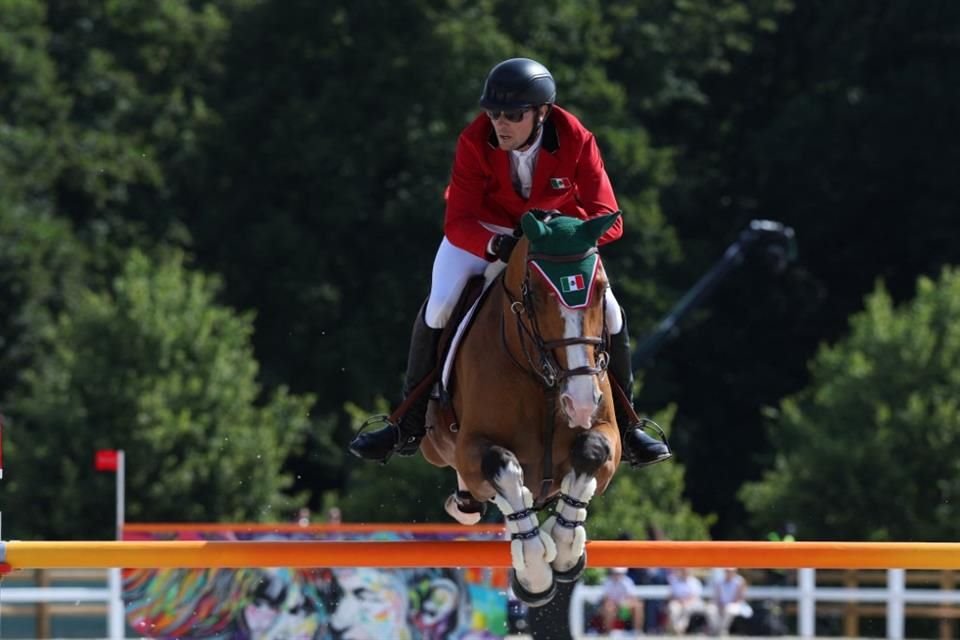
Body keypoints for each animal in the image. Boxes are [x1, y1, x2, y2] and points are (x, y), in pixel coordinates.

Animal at [420, 212, 624, 608]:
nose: (580, 403)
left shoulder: (609, 435)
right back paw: (465, 502)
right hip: (434, 446)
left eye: (600, 289)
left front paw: (564, 548)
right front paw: (534, 574)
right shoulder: (471, 447)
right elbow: (502, 466)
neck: (542, 379)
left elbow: (592, 452)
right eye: (538, 296)